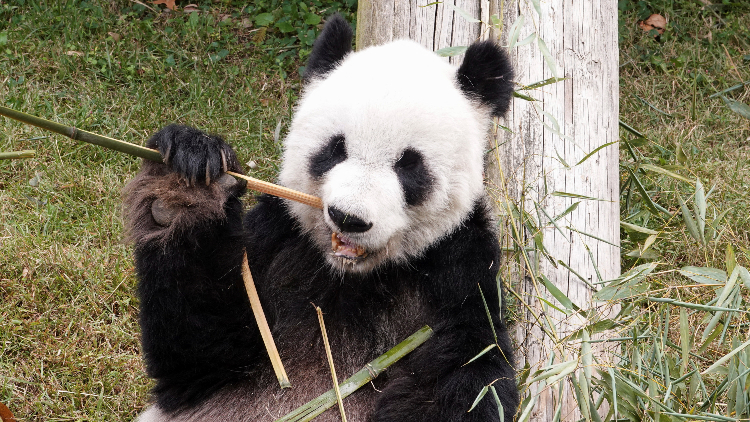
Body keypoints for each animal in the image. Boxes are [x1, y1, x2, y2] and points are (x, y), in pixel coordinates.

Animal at [126, 14, 520, 422]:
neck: (351, 278)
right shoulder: (277, 236)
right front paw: (186, 185)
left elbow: (468, 377)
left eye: (409, 165)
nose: (349, 218)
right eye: (335, 148)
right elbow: (199, 350)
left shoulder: (460, 271)